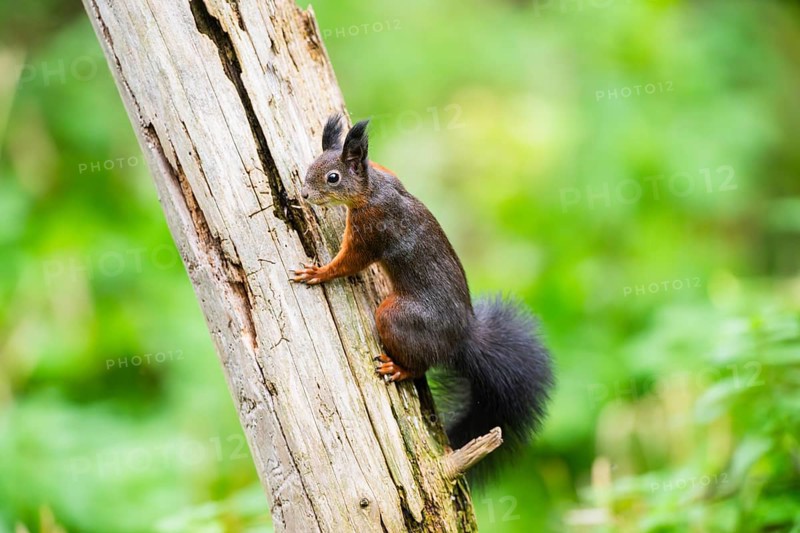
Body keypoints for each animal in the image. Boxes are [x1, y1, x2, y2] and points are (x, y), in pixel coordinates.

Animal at [291, 115, 554, 482]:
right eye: (311, 166)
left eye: (333, 177)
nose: (304, 194)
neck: (372, 191)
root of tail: (462, 338)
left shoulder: (371, 230)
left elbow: (349, 262)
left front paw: (318, 273)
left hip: (395, 316)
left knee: (420, 364)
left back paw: (398, 368)